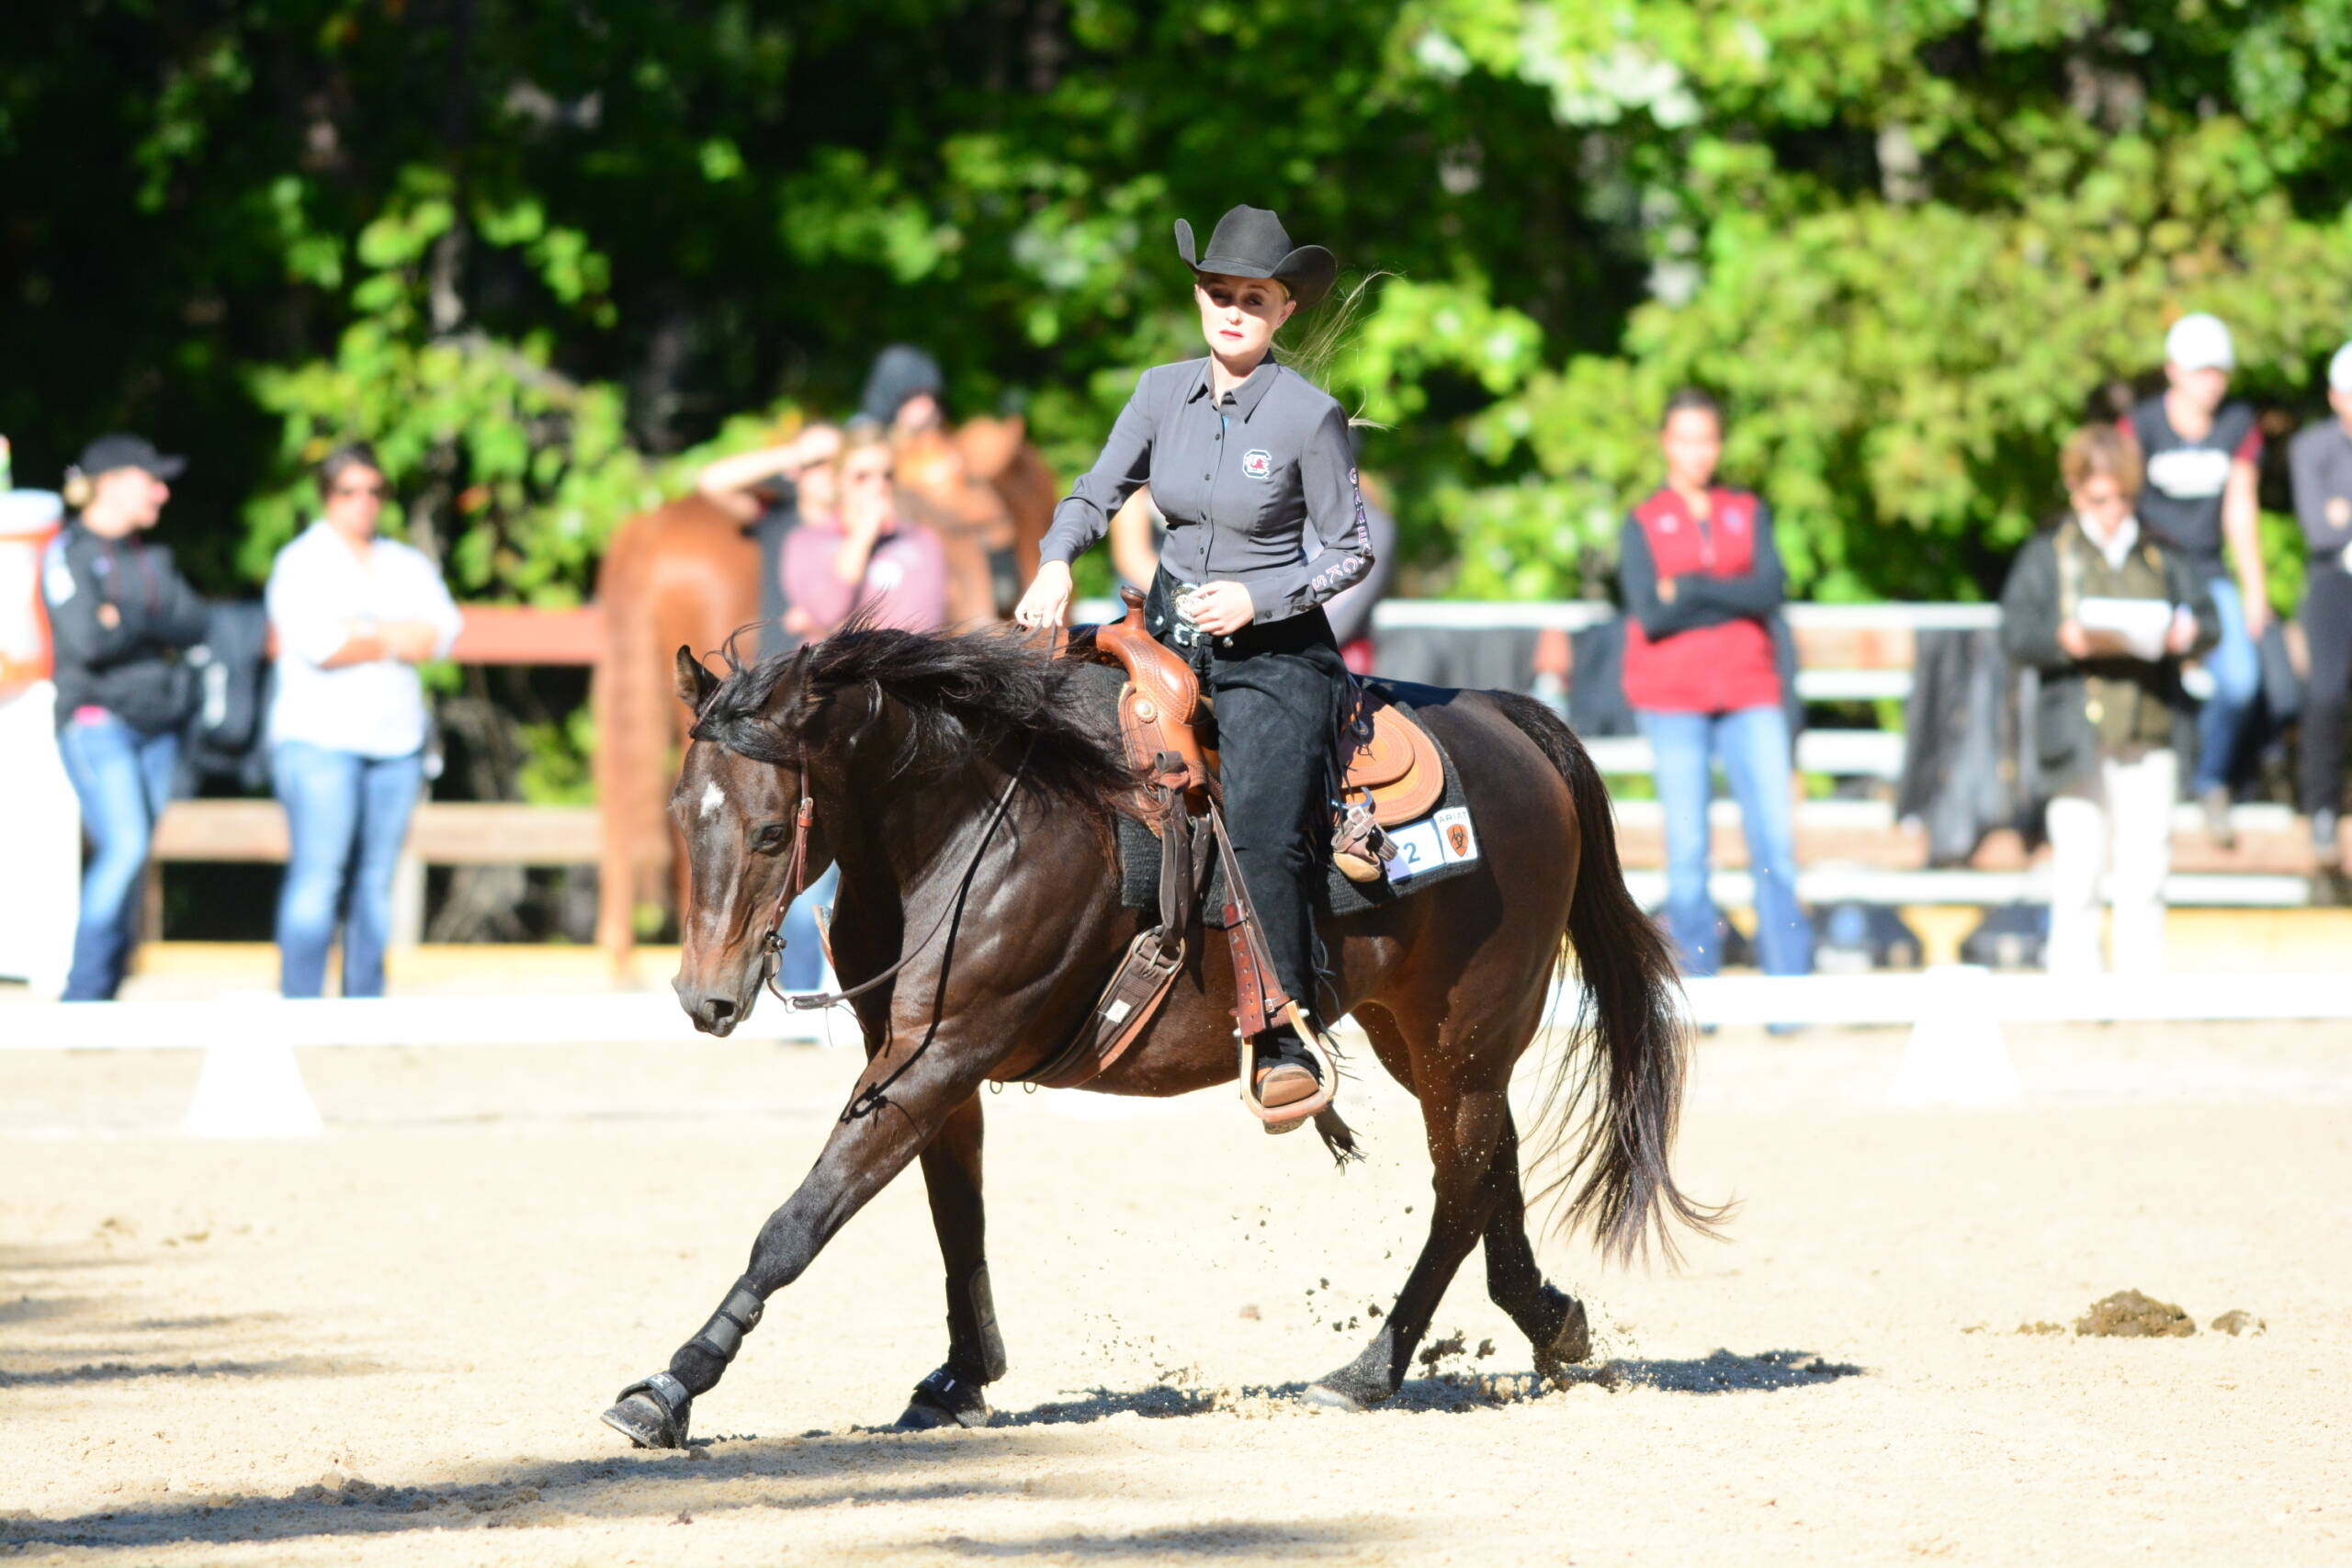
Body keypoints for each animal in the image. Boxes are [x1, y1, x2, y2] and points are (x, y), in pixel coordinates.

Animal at [602, 620, 1712, 1448]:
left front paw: (670, 1385)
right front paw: (960, 1380)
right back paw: (1550, 1324)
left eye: (770, 830)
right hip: (1426, 1041)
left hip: (1463, 1036)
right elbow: (956, 1220)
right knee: (1488, 1175)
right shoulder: (929, 1066)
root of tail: (1503, 720)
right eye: (681, 811)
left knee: (1461, 1187)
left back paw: (1367, 1371)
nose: (704, 999)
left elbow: (799, 1220)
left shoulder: (936, 1058)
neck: (968, 825)